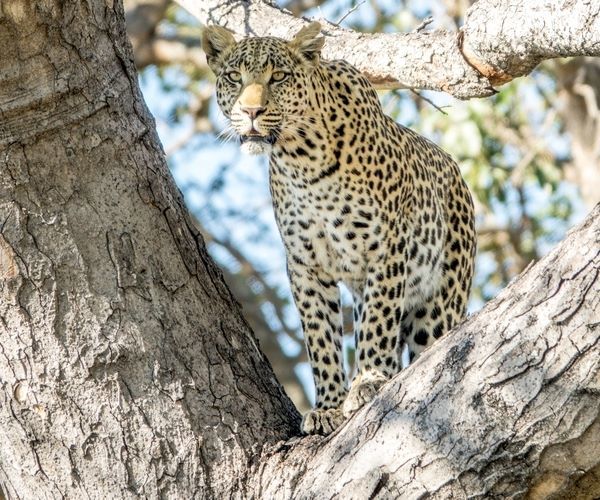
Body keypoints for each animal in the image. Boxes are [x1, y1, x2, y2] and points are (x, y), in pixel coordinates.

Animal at [204, 22, 476, 434]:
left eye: (278, 76)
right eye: (235, 77)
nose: (251, 111)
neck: (302, 160)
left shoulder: (385, 249)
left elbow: (379, 323)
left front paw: (369, 381)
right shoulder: (305, 264)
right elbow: (321, 336)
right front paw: (329, 406)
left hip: (439, 302)